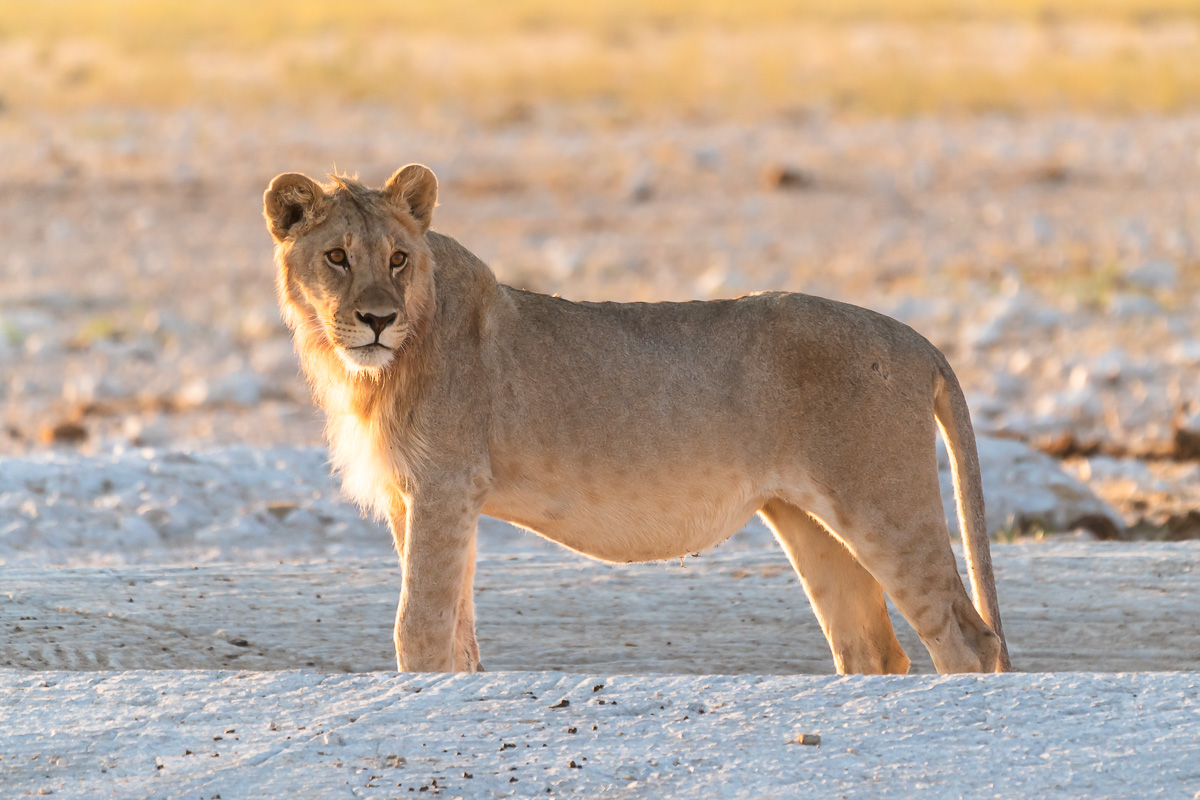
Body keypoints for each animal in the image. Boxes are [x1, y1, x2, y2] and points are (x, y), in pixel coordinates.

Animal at [263, 164, 1011, 675]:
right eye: (336, 257)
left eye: (397, 257)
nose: (377, 319)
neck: (371, 371)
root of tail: (918, 341)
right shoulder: (420, 497)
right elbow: (459, 631)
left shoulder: (444, 487)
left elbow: (419, 626)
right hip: (810, 520)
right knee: (871, 647)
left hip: (883, 505)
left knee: (969, 637)